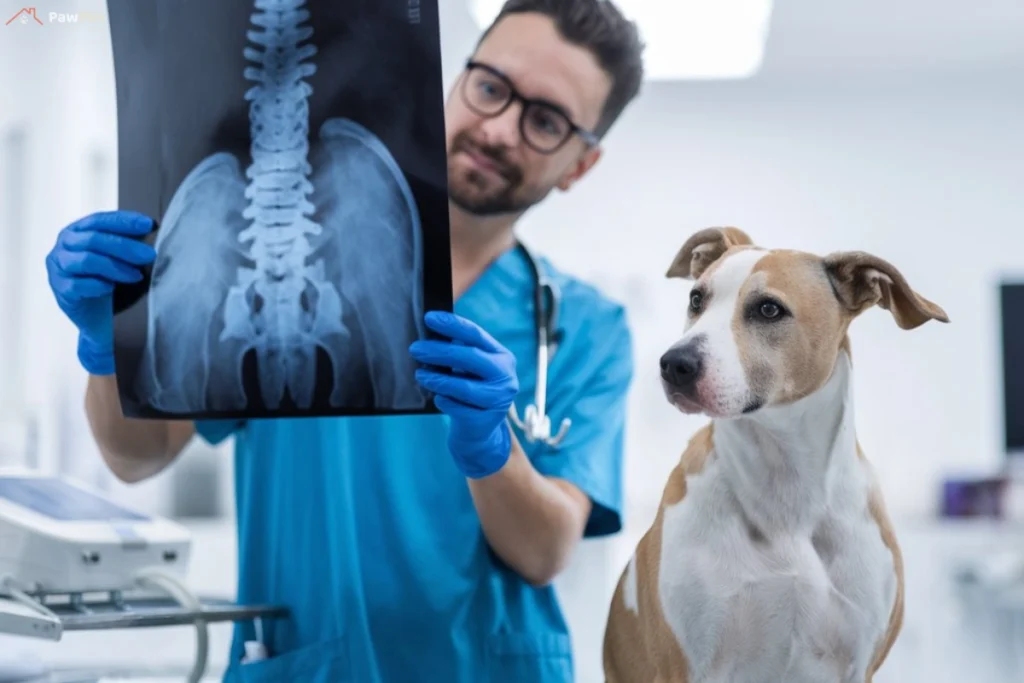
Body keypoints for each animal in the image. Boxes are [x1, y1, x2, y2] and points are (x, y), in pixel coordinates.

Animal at [602, 228, 946, 683]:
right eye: (696, 299)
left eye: (768, 309)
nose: (675, 363)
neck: (784, 480)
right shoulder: (687, 665)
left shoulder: (857, 665)